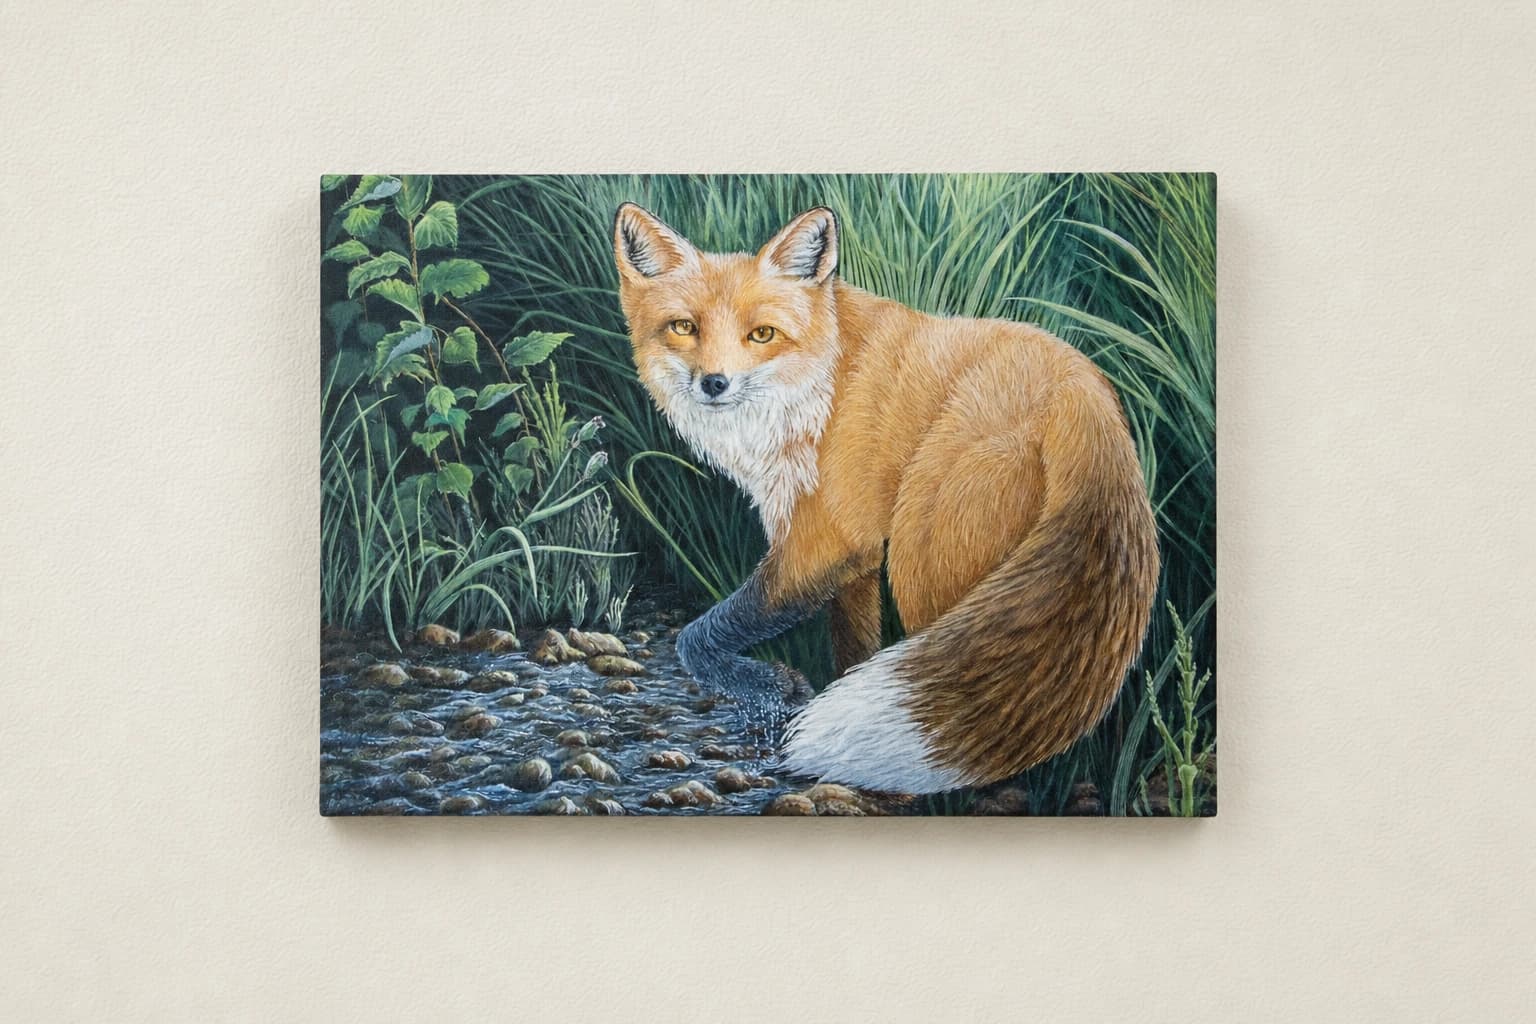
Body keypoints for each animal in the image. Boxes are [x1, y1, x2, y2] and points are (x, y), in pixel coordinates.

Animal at [612, 202, 1159, 794]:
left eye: (762, 334)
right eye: (683, 327)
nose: (714, 383)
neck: (819, 388)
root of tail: (1084, 396)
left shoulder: (822, 543)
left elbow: (698, 637)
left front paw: (774, 691)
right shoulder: (856, 558)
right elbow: (855, 651)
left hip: (927, 562)